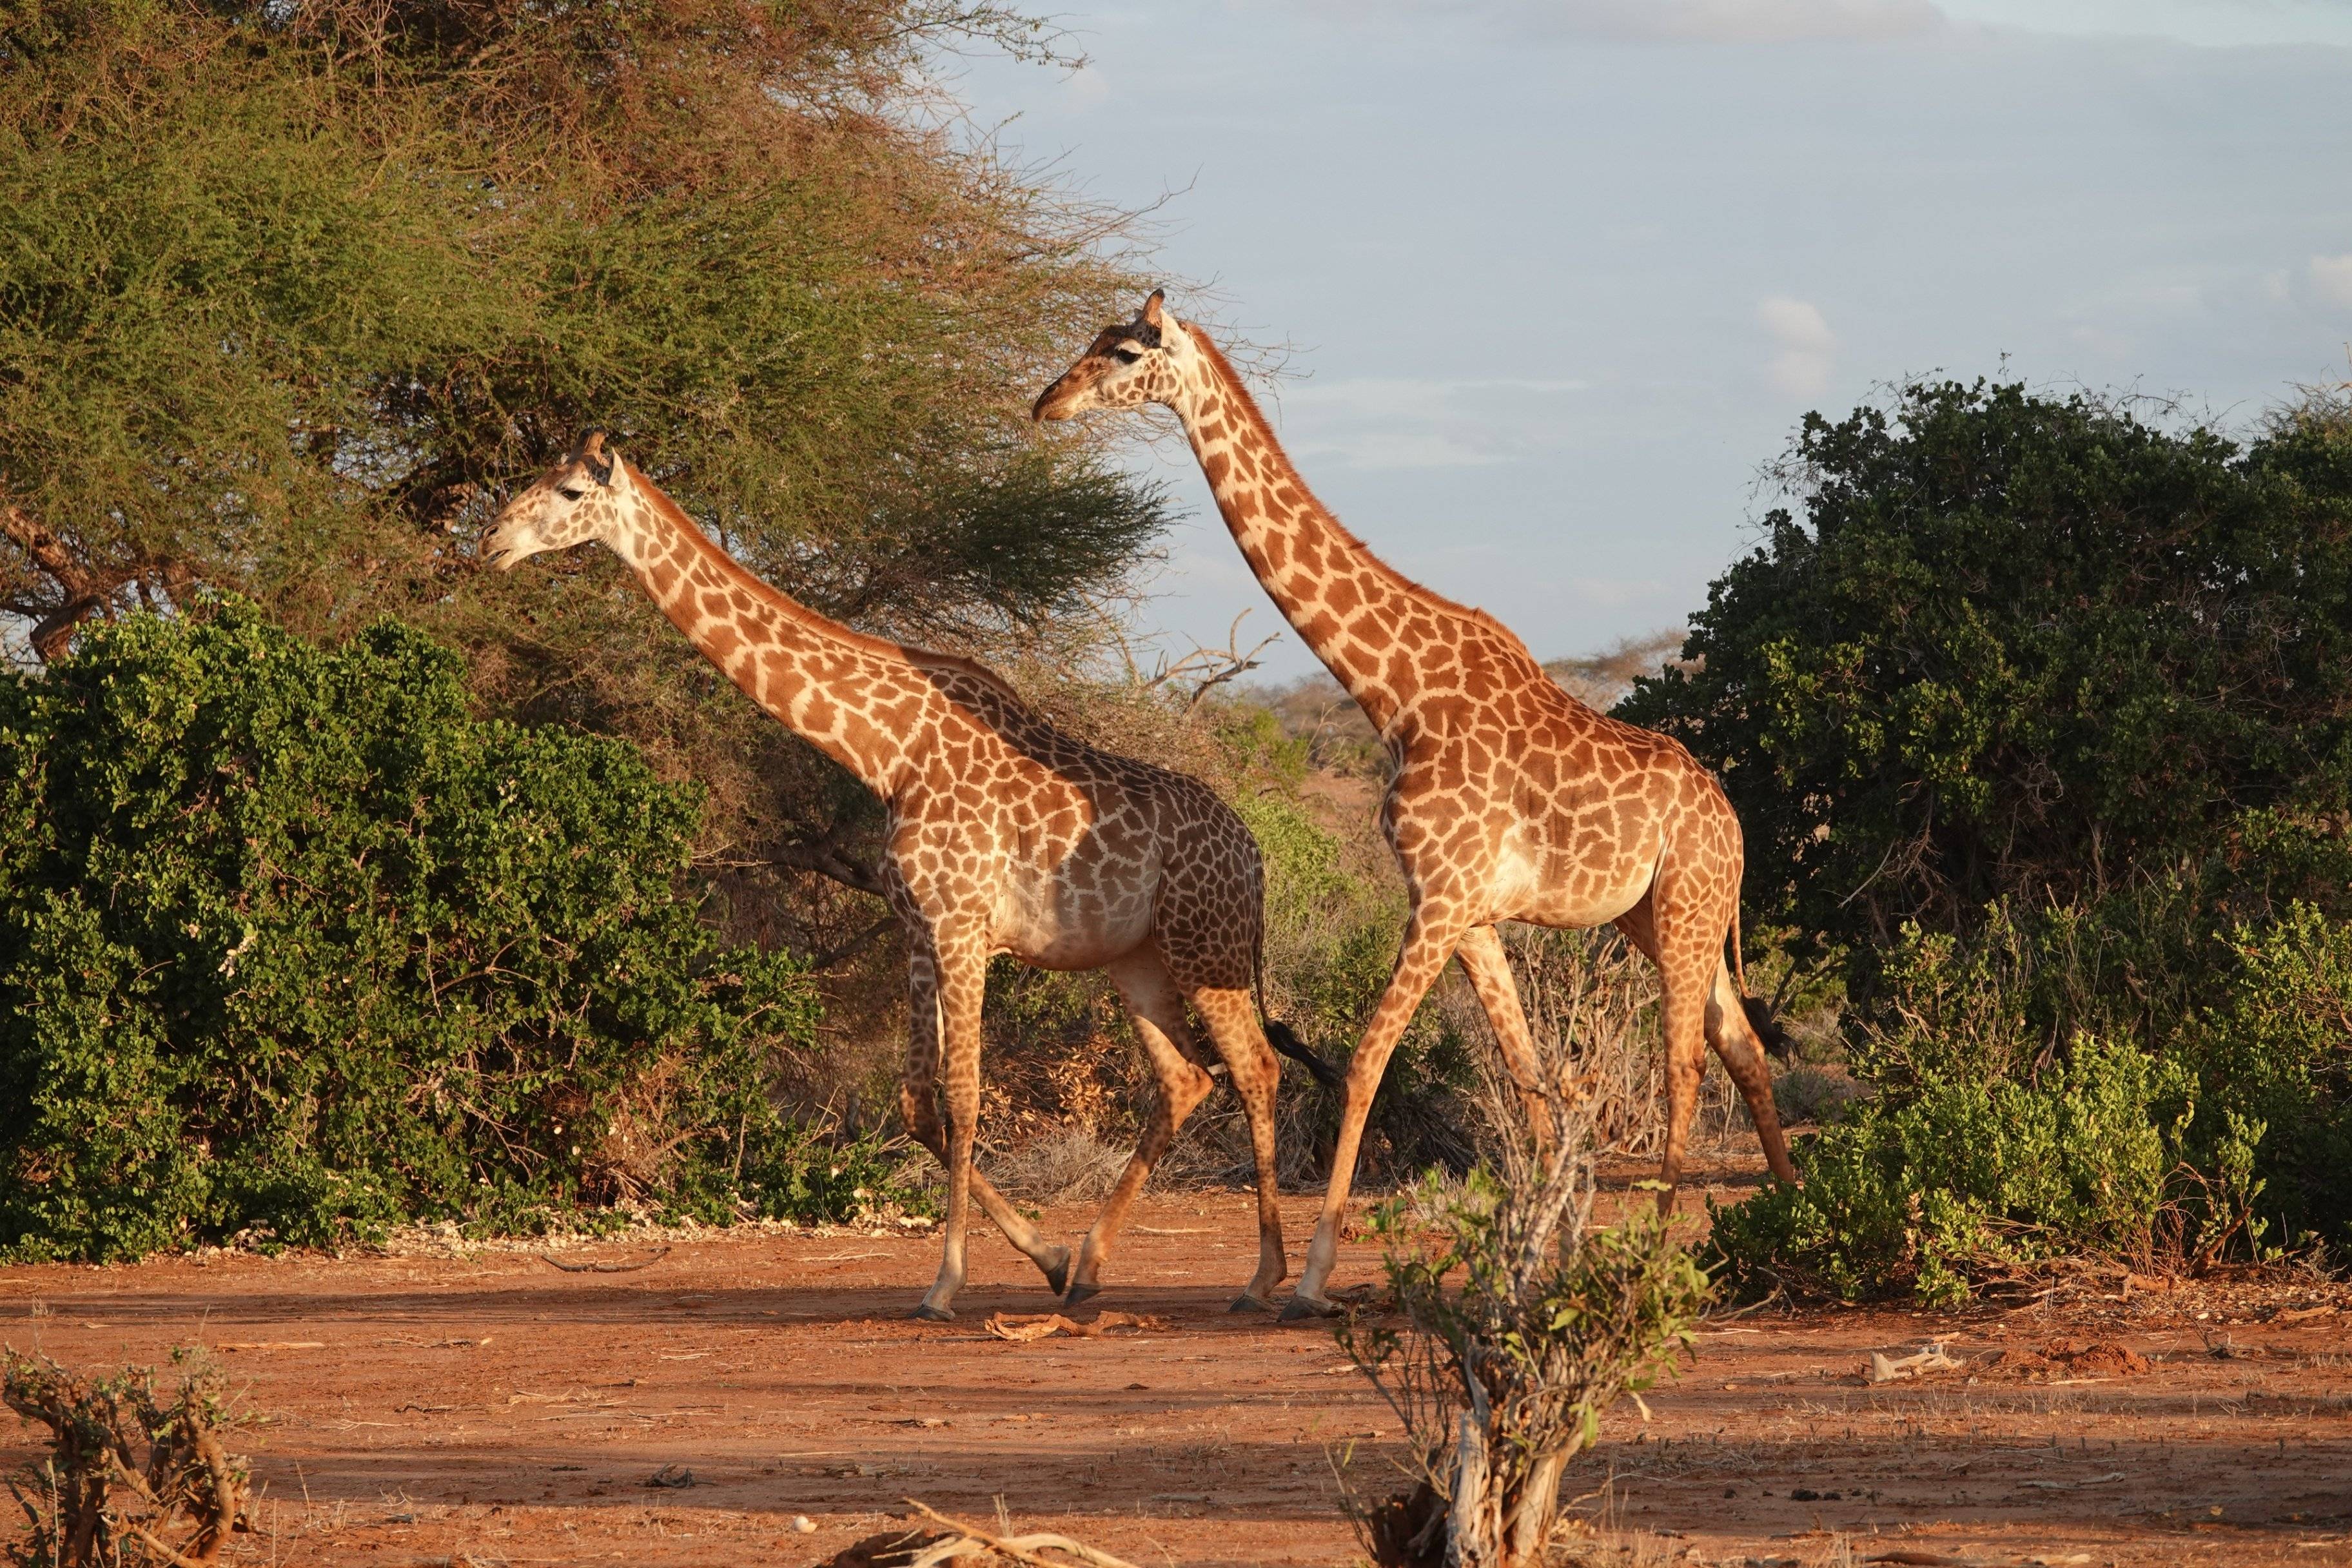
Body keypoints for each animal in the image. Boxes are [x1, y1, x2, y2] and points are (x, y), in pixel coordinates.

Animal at [477, 432, 1345, 1326]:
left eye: (571, 492)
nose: (491, 541)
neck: (885, 748)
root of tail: (1256, 854)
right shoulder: (919, 929)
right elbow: (919, 1104)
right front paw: (1047, 1256)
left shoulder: (963, 925)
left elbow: (963, 1097)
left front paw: (945, 1282)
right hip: (1137, 958)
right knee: (1185, 1078)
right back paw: (1091, 1268)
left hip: (1207, 948)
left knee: (1256, 1067)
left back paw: (1262, 1277)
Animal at [1035, 297, 1797, 1326]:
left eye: (1122, 352)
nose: (1047, 402)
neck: (1392, 690)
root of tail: (1733, 821)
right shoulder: (1468, 912)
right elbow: (1531, 1082)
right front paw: (1550, 1258)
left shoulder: (1435, 897)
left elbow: (1364, 1060)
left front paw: (1310, 1277)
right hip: (1666, 915)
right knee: (1743, 1046)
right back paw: (1794, 1219)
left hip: (1684, 907)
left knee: (1685, 1063)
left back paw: (1661, 1254)